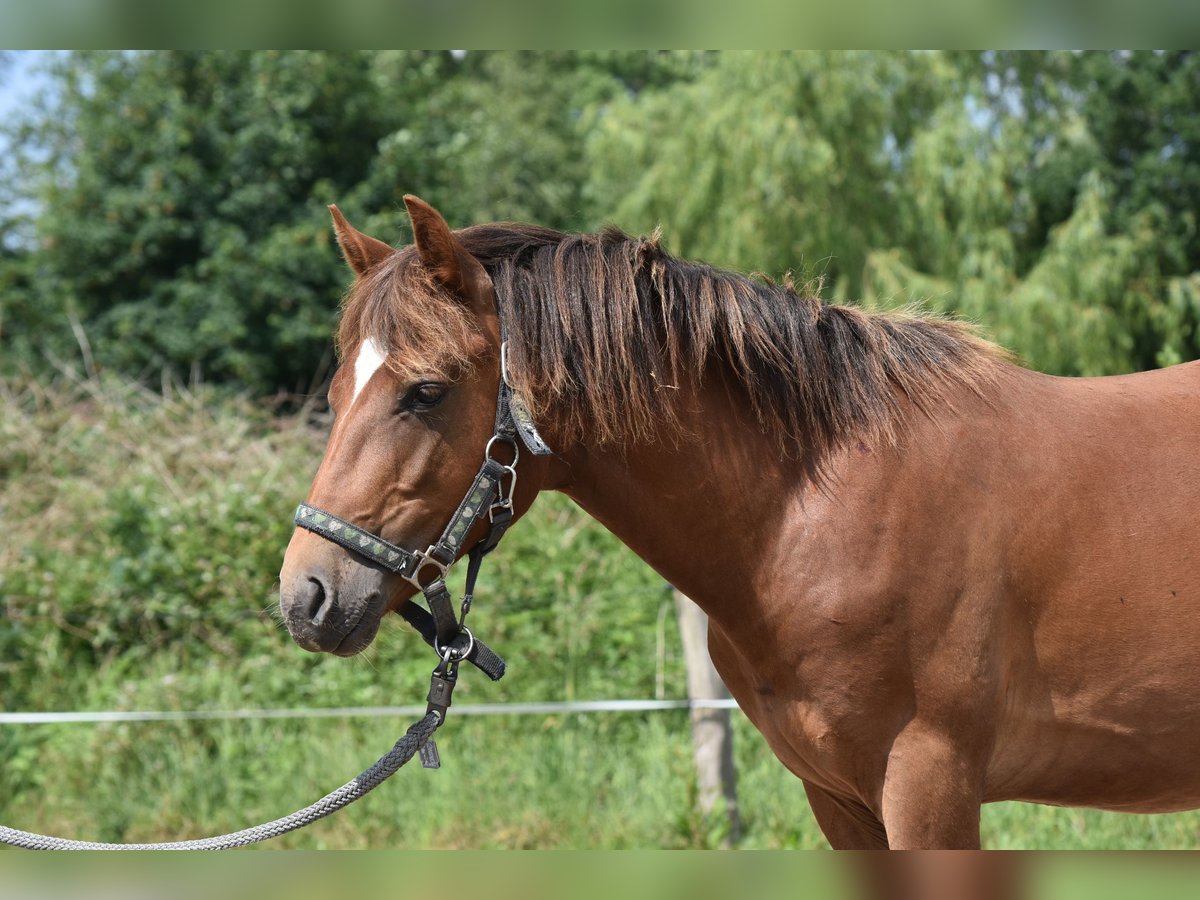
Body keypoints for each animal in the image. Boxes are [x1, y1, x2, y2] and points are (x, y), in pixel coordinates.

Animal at [276, 194, 1200, 849]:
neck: (815, 508)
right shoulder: (838, 797)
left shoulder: (930, 784)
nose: (306, 596)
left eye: (425, 391)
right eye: (336, 390)